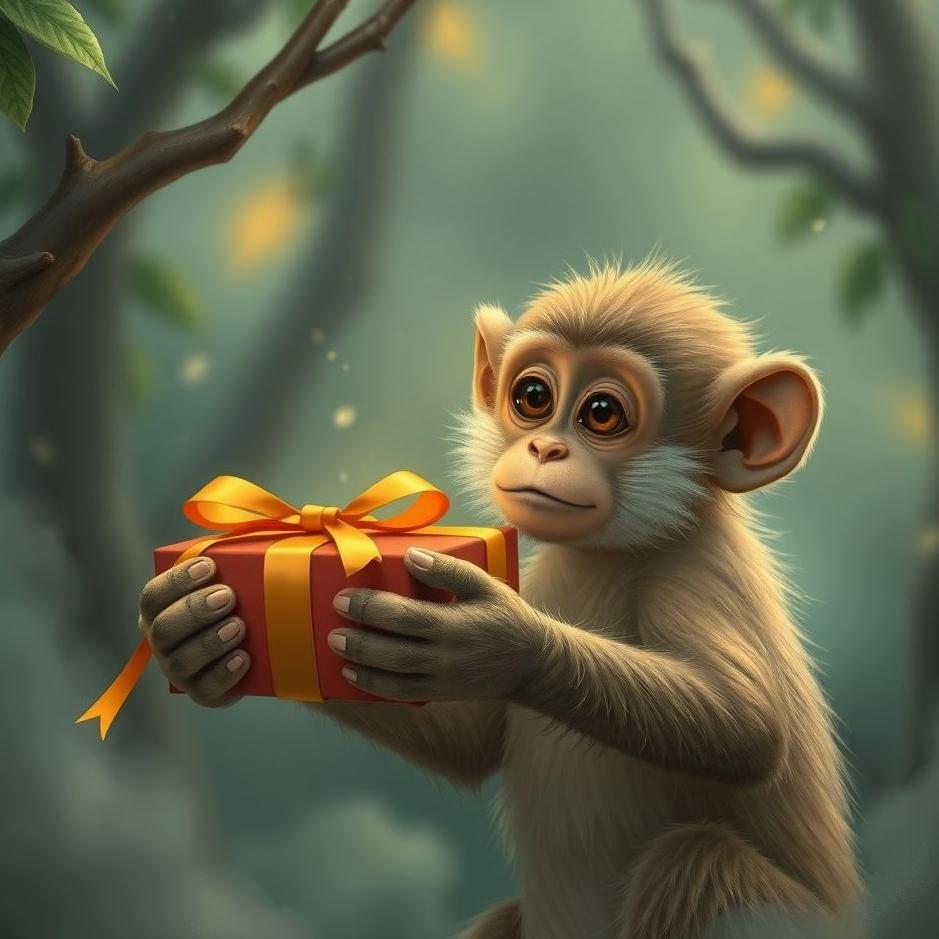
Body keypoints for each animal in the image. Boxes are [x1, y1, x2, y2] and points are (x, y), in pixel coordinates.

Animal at [137, 259, 859, 939]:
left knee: (696, 863)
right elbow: (474, 742)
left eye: (602, 413)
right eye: (533, 395)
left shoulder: (697, 570)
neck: (617, 551)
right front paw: (190, 633)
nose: (544, 446)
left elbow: (747, 726)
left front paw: (500, 645)